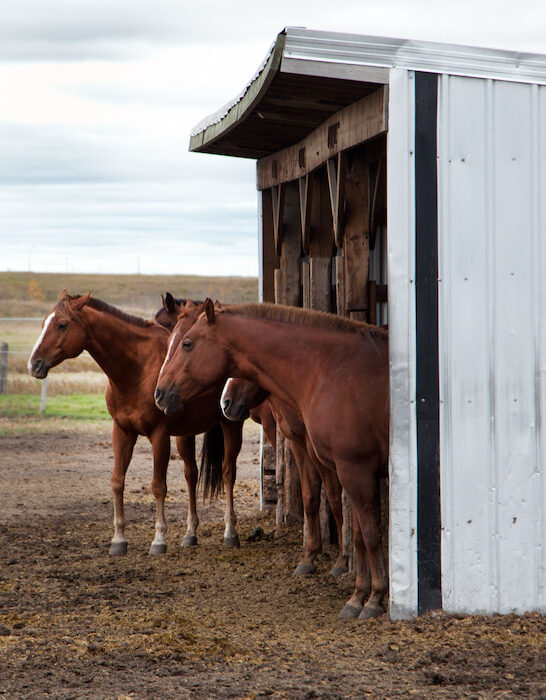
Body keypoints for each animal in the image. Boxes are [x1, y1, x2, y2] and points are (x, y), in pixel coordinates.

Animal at [27, 290, 244, 556]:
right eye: (44, 323)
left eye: (62, 324)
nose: (34, 364)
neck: (137, 369)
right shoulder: (122, 432)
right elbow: (117, 482)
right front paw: (119, 539)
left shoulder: (159, 436)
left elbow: (158, 485)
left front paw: (159, 539)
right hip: (185, 435)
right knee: (191, 474)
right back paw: (190, 533)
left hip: (231, 425)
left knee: (228, 472)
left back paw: (230, 532)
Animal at [220, 380, 344, 576]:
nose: (225, 404)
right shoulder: (298, 441)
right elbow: (310, 496)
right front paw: (310, 557)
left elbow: (334, 498)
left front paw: (341, 561)